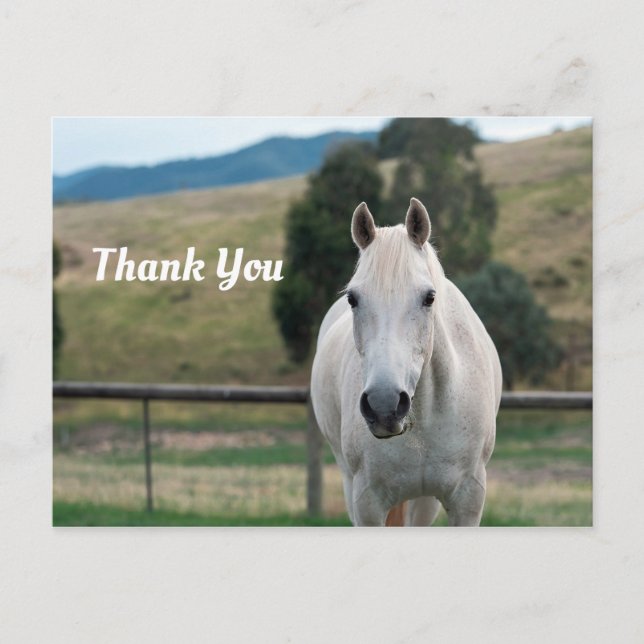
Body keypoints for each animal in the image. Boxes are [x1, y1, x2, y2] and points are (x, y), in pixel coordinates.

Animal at [310, 198, 502, 526]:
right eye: (352, 299)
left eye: (429, 297)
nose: (384, 405)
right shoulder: (367, 504)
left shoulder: (468, 497)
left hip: (424, 502)